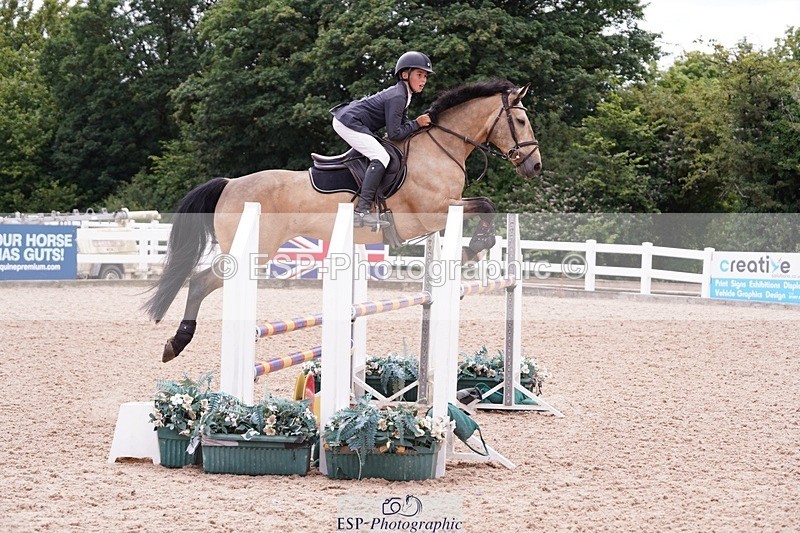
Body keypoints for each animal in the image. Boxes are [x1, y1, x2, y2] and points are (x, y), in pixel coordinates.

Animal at [145, 79, 542, 362]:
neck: (440, 147)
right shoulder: (433, 212)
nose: (535, 166)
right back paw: (176, 343)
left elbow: (486, 205)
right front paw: (474, 247)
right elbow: (485, 204)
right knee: (200, 282)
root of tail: (229, 184)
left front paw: (474, 249)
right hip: (253, 251)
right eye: (521, 120)